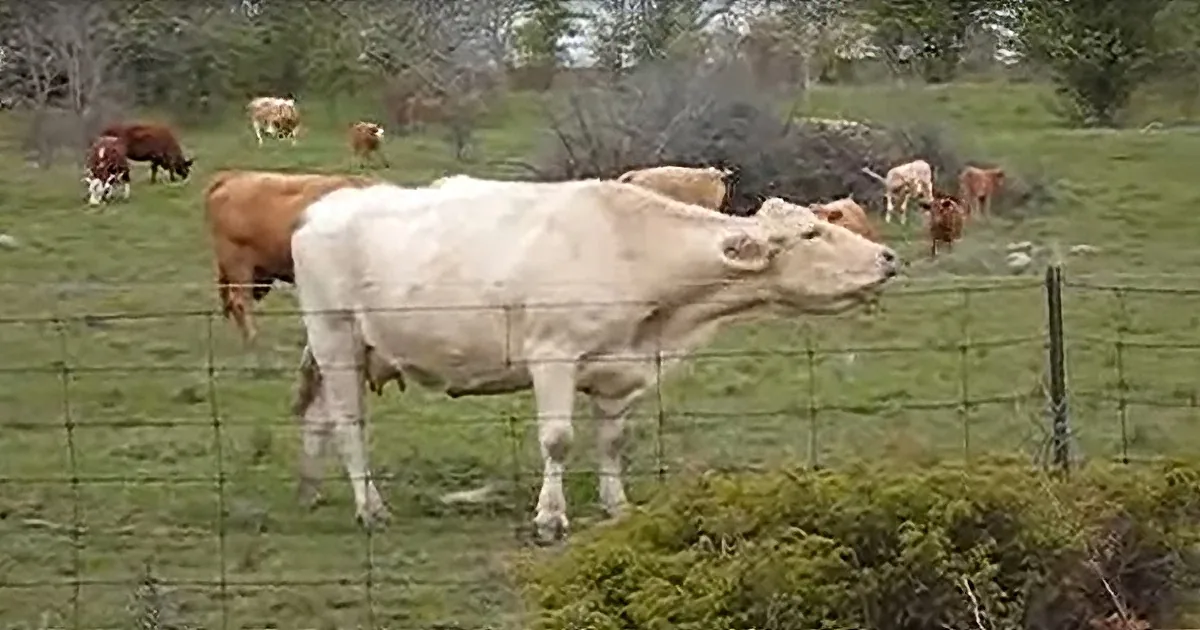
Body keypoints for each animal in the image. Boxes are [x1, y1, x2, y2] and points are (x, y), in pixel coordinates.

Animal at [288, 178, 900, 542]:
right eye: (811, 232)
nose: (888, 256)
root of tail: (322, 206)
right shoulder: (553, 354)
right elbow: (558, 440)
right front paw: (550, 517)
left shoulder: (618, 372)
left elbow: (613, 442)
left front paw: (616, 505)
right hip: (335, 337)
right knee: (348, 424)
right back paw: (370, 507)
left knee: (317, 419)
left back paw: (311, 492)